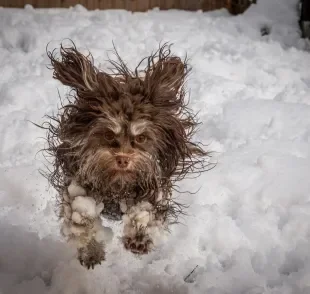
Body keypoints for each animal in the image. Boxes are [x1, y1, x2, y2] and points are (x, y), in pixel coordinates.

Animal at [36, 41, 212, 268]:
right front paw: (91, 251)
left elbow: (146, 212)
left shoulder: (153, 187)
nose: (122, 159)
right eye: (109, 134)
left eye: (142, 138)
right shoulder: (77, 183)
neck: (118, 185)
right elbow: (81, 218)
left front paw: (139, 239)